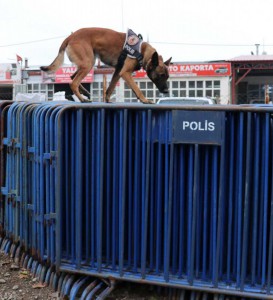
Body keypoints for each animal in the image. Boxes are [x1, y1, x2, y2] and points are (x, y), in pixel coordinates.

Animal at [39, 27, 172, 103]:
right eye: (161, 75)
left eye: (167, 76)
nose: (166, 91)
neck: (144, 52)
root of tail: (70, 36)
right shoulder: (125, 72)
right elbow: (137, 88)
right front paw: (145, 100)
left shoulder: (118, 71)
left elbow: (111, 87)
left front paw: (107, 100)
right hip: (88, 64)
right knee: (73, 82)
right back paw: (82, 99)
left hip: (88, 63)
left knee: (72, 77)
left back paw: (85, 93)